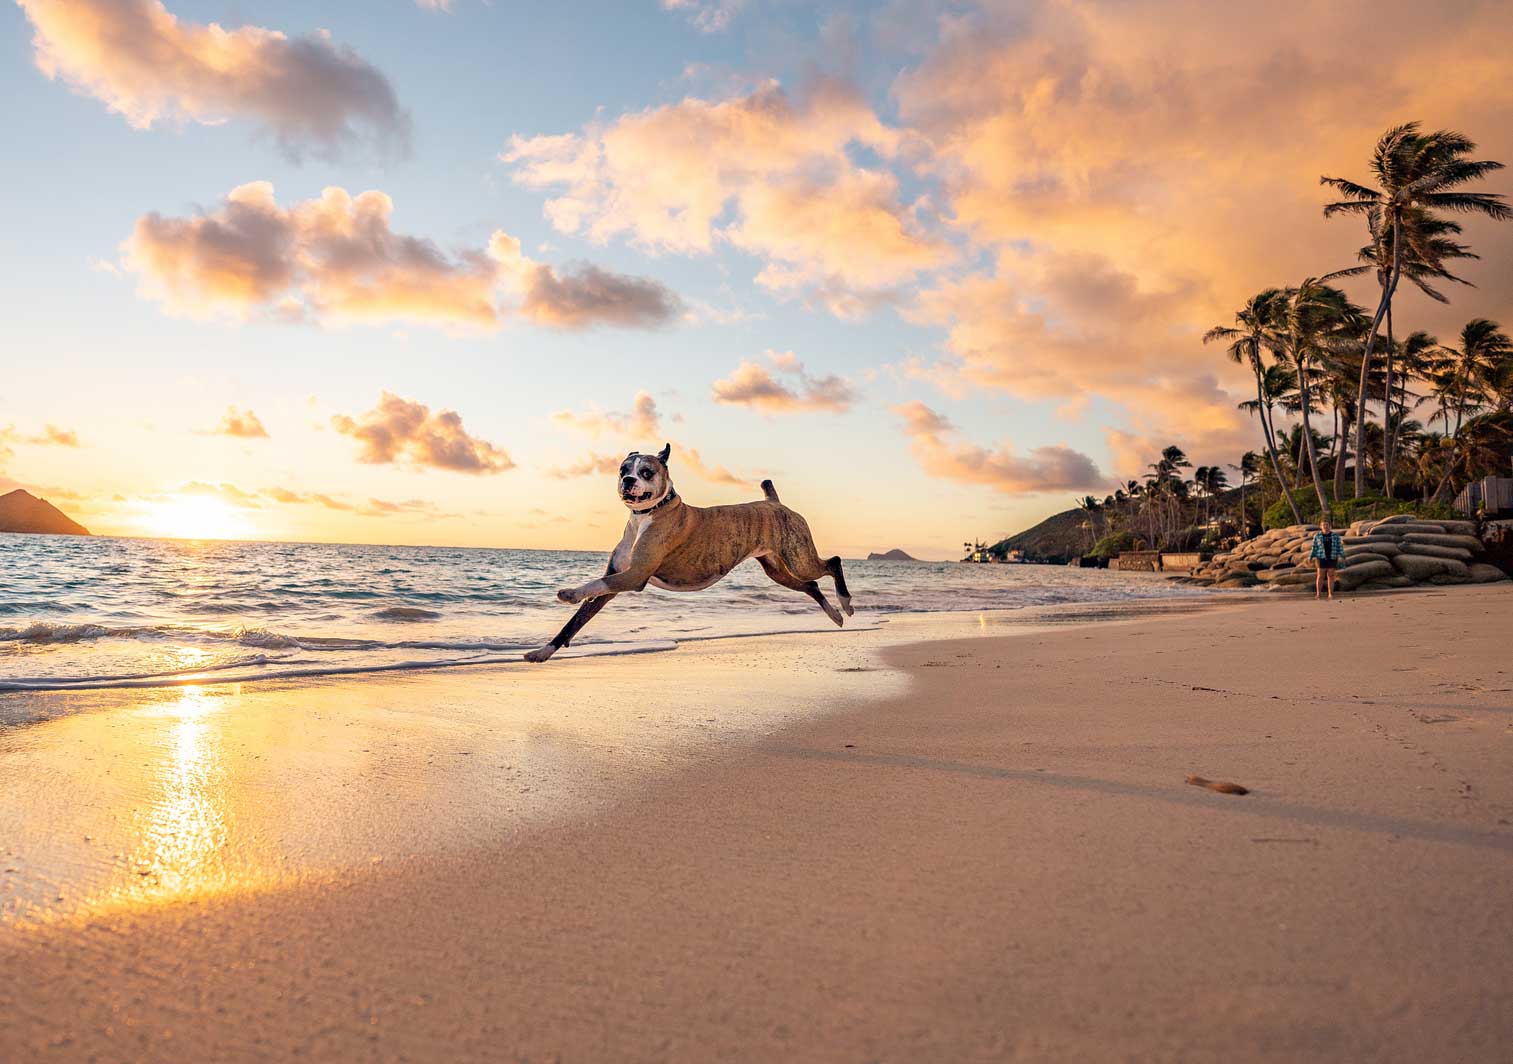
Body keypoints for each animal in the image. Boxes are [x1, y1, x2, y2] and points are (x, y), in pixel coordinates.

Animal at [523, 441, 853, 662]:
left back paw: (845, 602)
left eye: (646, 472)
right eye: (622, 469)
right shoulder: (615, 583)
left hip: (799, 557)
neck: (646, 515)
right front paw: (543, 651)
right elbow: (573, 623)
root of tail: (774, 502)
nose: (628, 480)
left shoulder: (633, 576)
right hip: (777, 570)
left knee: (832, 563)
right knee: (812, 585)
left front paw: (569, 593)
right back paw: (835, 615)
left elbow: (593, 585)